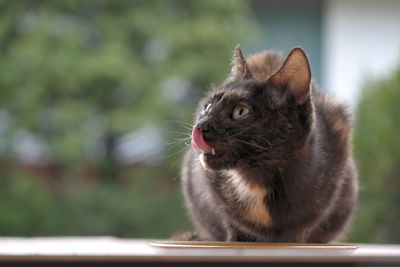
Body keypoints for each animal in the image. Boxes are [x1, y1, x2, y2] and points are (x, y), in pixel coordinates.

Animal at [177, 45, 358, 243]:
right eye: (207, 107)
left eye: (240, 111)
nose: (200, 126)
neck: (258, 179)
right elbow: (230, 219)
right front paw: (238, 238)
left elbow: (305, 225)